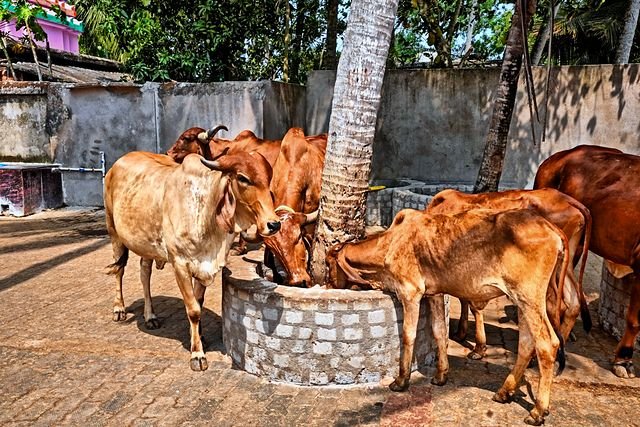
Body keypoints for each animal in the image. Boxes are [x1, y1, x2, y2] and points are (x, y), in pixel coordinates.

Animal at [104, 149, 281, 371]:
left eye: (269, 178)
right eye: (243, 178)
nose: (274, 224)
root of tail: (117, 164)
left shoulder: (205, 267)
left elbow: (198, 302)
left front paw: (197, 337)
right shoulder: (180, 265)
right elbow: (193, 310)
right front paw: (197, 354)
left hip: (146, 245)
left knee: (145, 274)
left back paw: (150, 316)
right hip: (114, 233)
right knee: (118, 271)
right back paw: (119, 308)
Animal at [326, 208, 568, 426]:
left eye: (328, 264)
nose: (327, 285)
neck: (389, 243)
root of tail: (551, 227)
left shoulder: (410, 292)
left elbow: (408, 336)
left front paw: (401, 380)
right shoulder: (434, 294)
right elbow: (439, 332)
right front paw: (441, 375)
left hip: (530, 298)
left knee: (547, 344)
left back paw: (538, 411)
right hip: (522, 302)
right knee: (527, 344)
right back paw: (504, 392)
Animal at [426, 188, 593, 359]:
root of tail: (568, 200)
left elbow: (472, 305)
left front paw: (479, 347)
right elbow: (464, 300)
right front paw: (461, 333)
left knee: (553, 308)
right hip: (565, 264)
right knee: (573, 303)